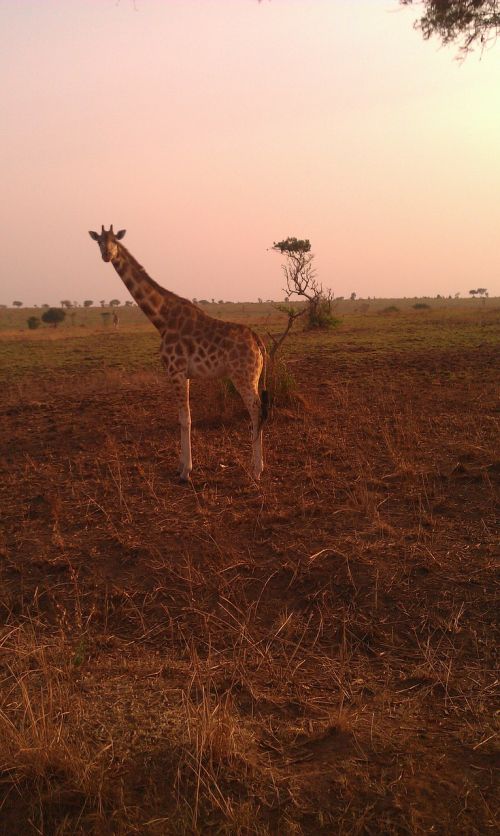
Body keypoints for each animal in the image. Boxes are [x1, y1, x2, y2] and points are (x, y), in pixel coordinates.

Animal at [90, 225, 270, 480]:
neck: (161, 318)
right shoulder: (185, 374)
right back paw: (258, 466)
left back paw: (256, 470)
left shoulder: (175, 371)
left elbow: (185, 418)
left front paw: (186, 471)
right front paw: (181, 465)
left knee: (256, 410)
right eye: (99, 241)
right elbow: (183, 417)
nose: (107, 255)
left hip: (243, 376)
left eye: (115, 240)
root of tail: (258, 341)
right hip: (251, 376)